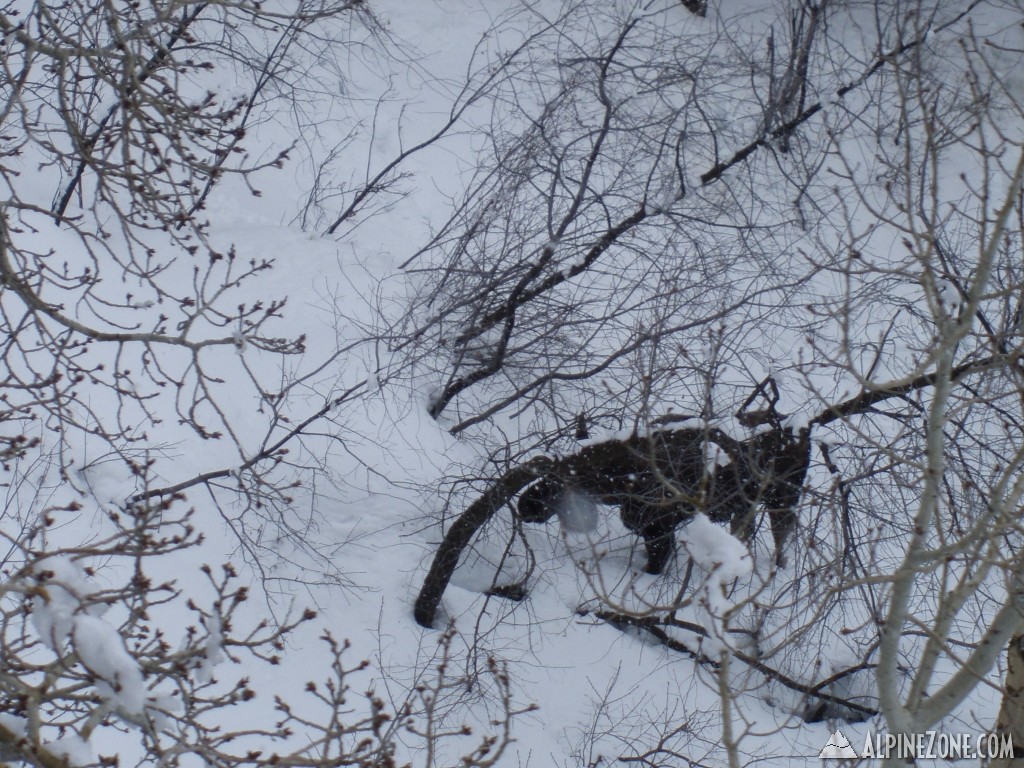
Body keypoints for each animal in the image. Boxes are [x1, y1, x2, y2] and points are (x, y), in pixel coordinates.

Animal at [411, 380, 811, 630]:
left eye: (560, 482)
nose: (526, 504)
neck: (617, 483)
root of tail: (804, 435)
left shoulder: (658, 527)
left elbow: (653, 567)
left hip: (782, 502)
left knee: (782, 545)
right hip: (751, 508)